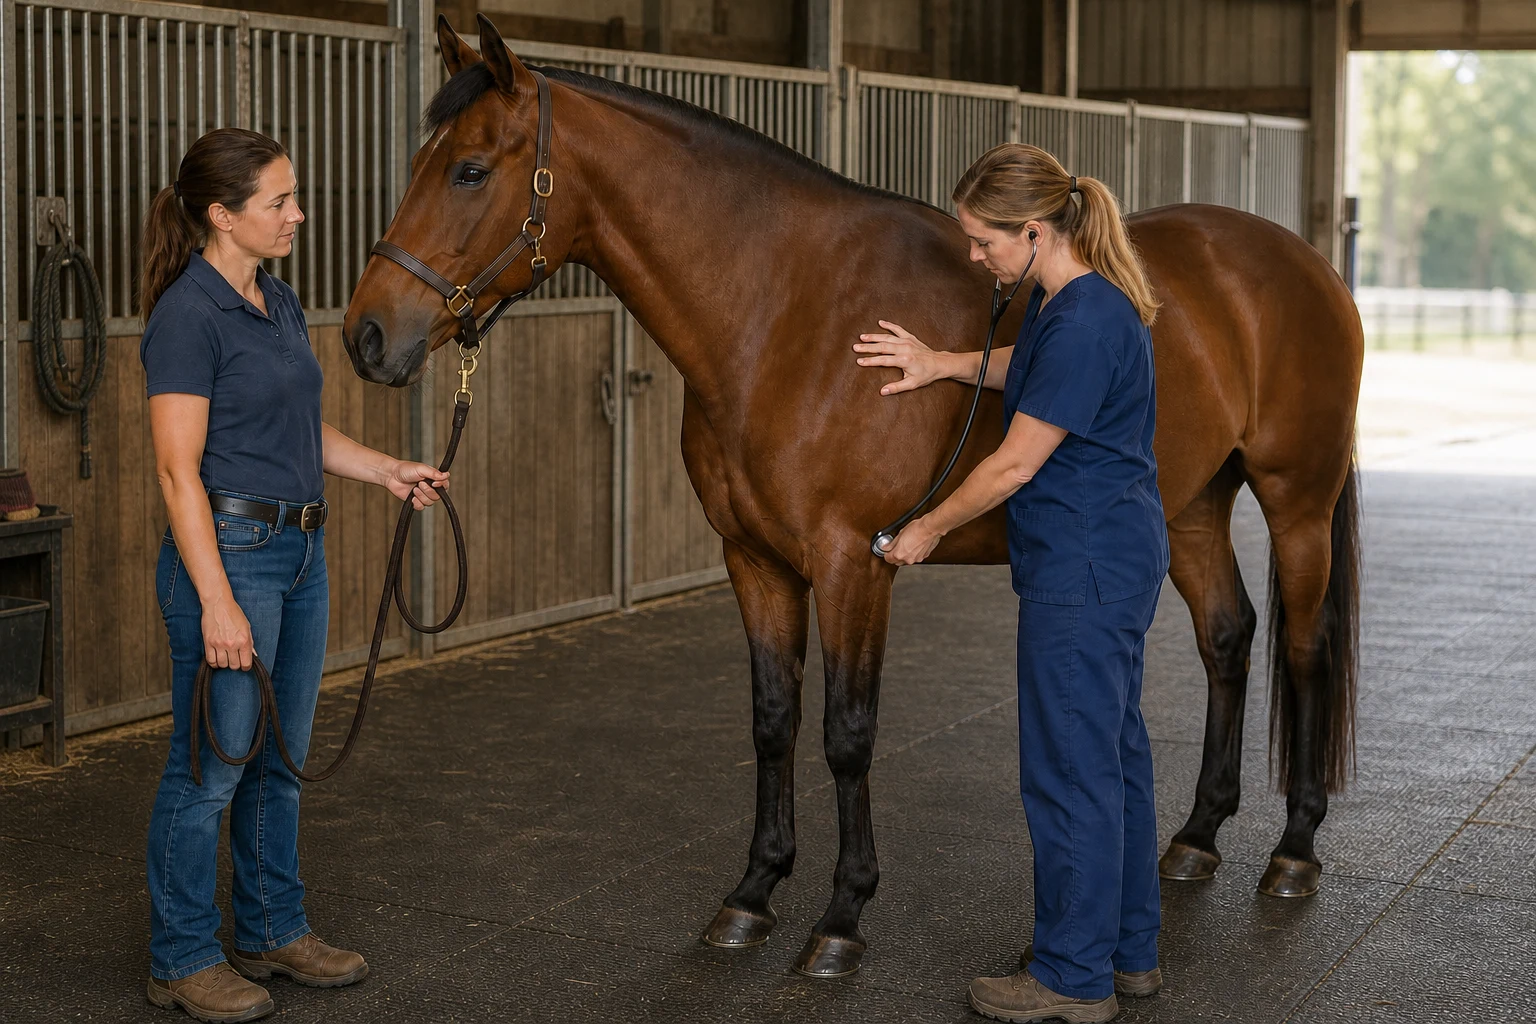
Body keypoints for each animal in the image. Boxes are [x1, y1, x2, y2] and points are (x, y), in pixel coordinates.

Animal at [342, 15, 1363, 978]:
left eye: (471, 170)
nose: (366, 336)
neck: (789, 314)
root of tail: (1302, 261)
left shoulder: (854, 562)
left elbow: (846, 731)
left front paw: (841, 917)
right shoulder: (754, 560)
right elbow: (772, 720)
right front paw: (752, 893)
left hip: (1295, 501)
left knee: (1305, 646)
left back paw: (1294, 850)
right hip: (1191, 506)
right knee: (1228, 637)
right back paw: (1195, 839)